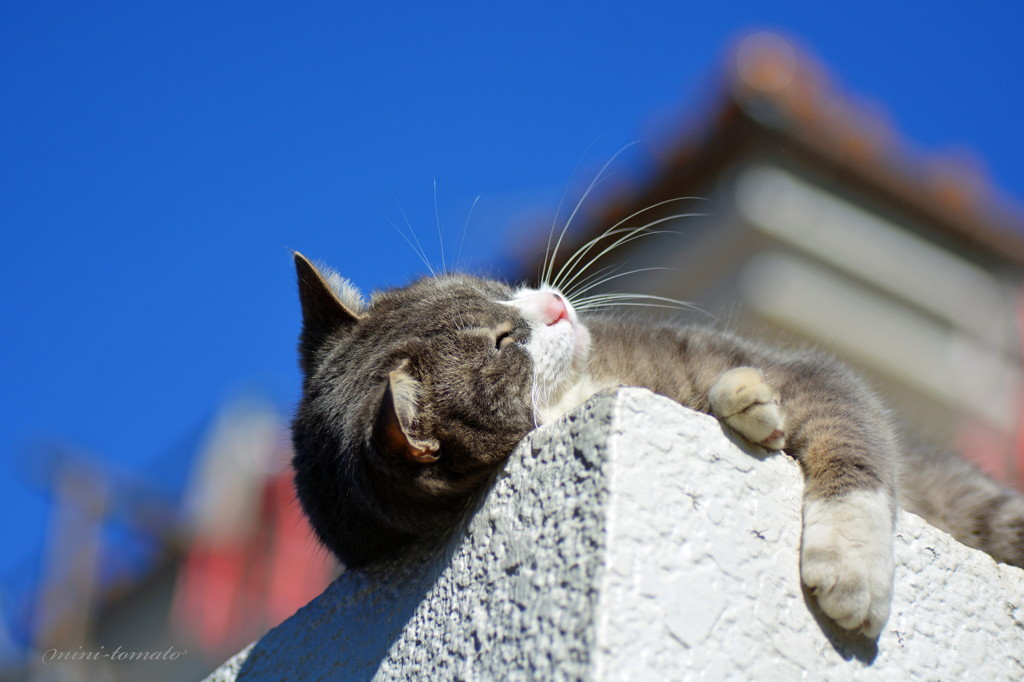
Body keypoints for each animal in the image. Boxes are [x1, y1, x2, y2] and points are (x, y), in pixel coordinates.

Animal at [288, 248, 1024, 638]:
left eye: (491, 291)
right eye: (500, 344)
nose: (553, 304)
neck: (590, 384)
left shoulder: (801, 372)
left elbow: (847, 427)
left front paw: (850, 564)